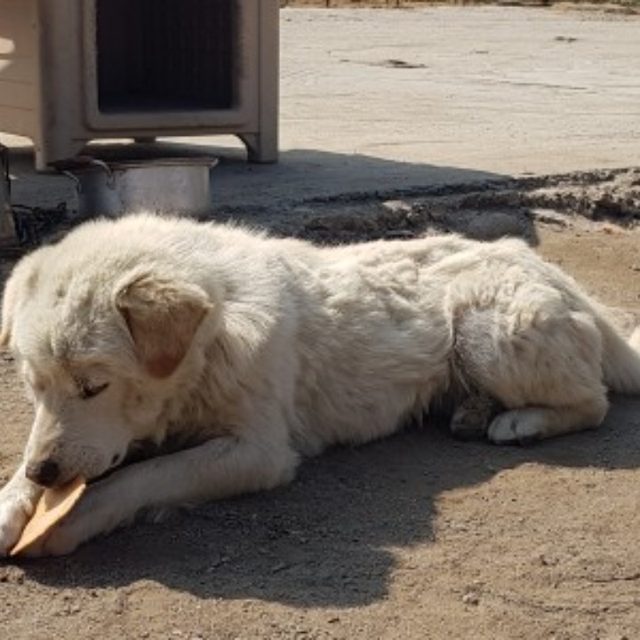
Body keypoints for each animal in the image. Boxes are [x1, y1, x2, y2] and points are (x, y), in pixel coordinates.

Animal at [1, 215, 640, 556]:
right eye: (35, 387)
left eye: (94, 387)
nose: (46, 473)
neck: (212, 337)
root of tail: (557, 274)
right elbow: (25, 472)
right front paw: (13, 505)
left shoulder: (259, 452)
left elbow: (139, 479)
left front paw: (70, 523)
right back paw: (469, 413)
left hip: (487, 330)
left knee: (594, 402)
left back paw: (519, 421)